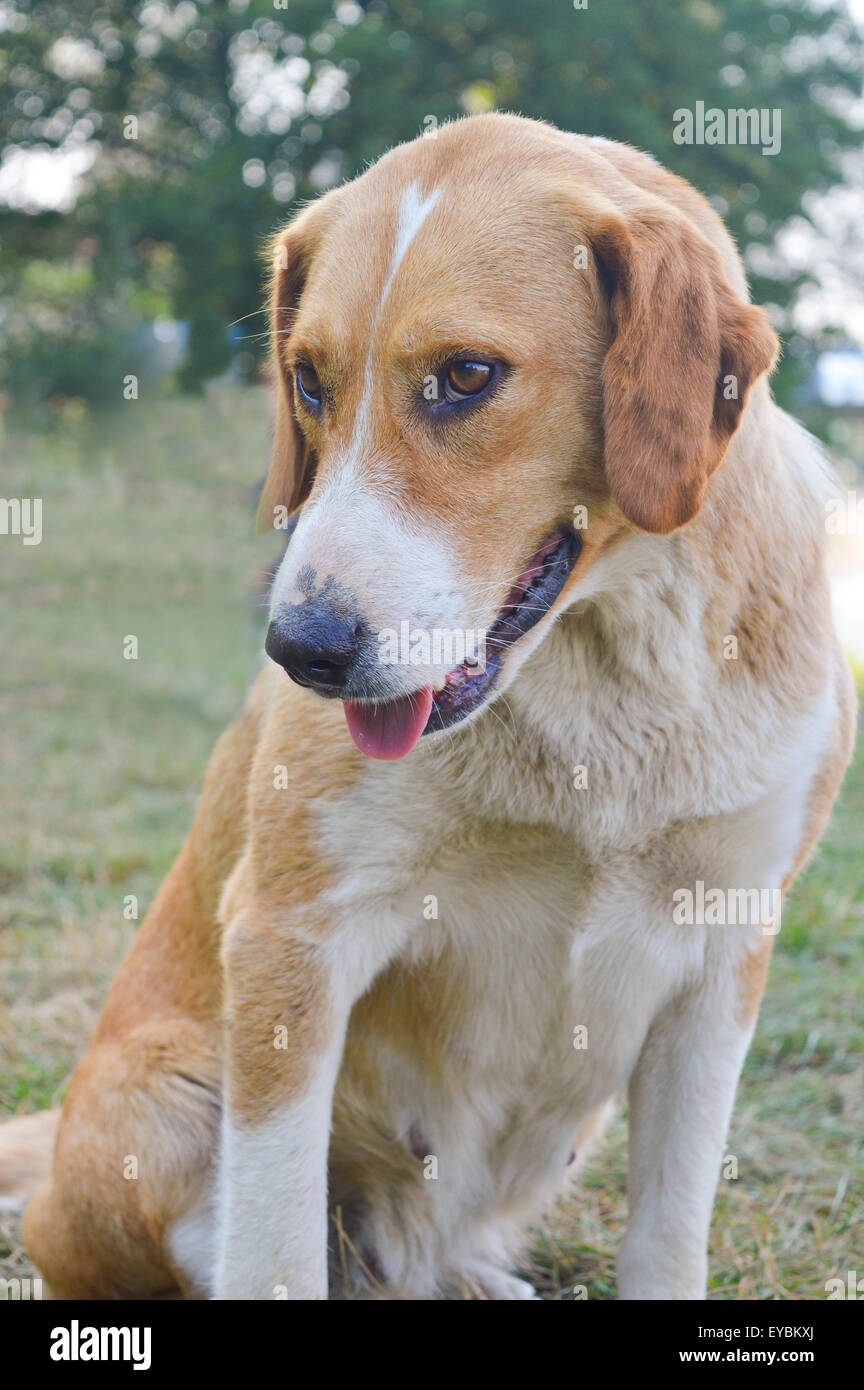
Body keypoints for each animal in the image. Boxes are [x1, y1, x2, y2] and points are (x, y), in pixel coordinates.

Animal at [1, 113, 861, 1295]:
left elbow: (669, 1232)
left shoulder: (720, 957)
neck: (601, 678)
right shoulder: (294, 940)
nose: (302, 649)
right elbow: (274, 1252)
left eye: (465, 375)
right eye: (308, 381)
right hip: (165, 1114)